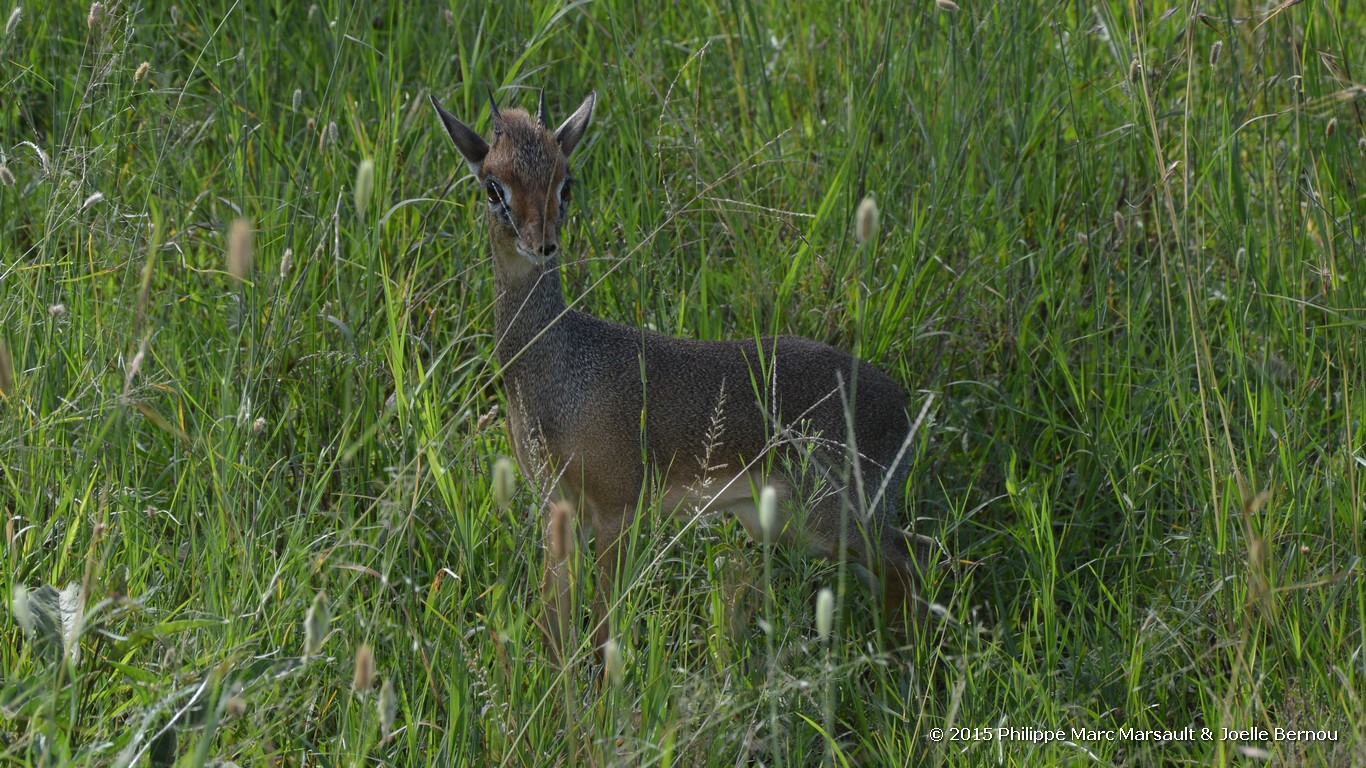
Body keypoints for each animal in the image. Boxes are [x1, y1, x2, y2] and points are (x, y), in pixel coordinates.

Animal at [431, 88, 934, 650]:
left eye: (566, 182)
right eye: (492, 186)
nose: (542, 244)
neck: (558, 371)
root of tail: (903, 405)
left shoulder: (617, 511)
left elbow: (605, 630)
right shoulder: (555, 509)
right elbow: (554, 626)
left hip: (834, 518)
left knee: (914, 561)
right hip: (795, 525)